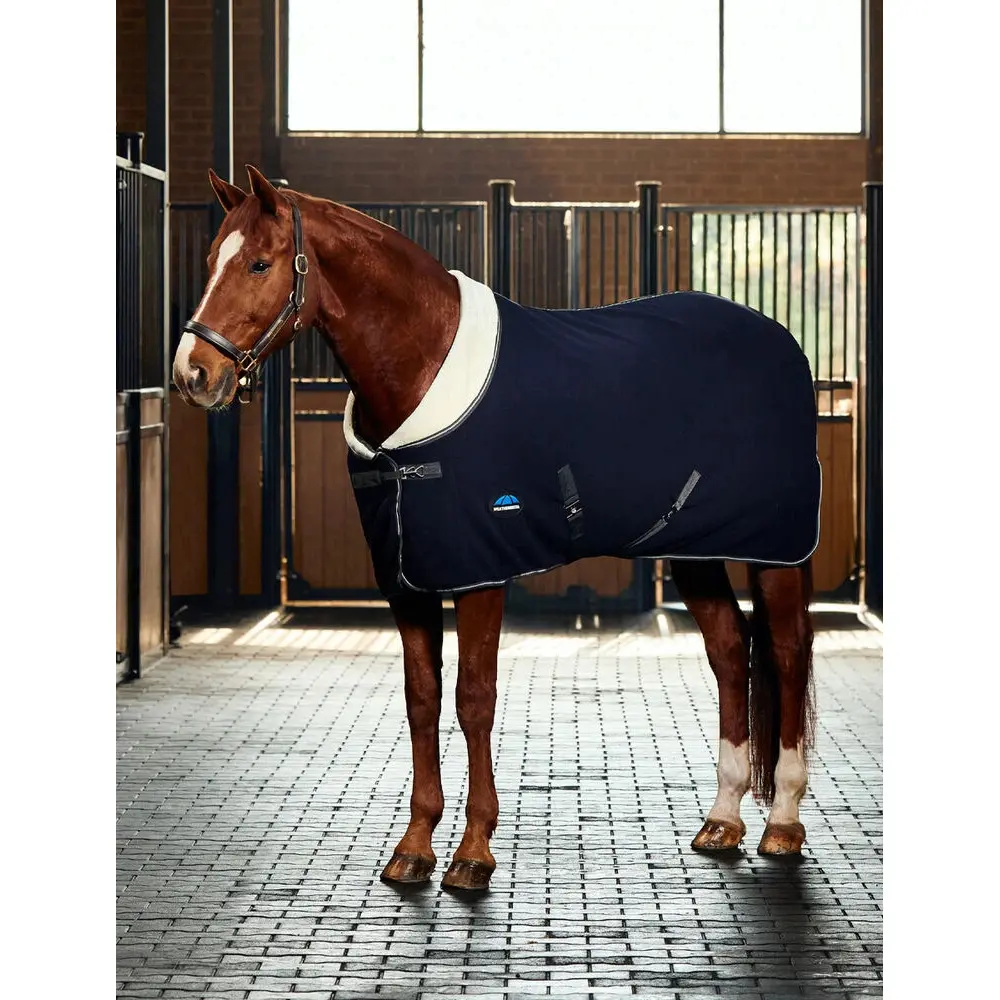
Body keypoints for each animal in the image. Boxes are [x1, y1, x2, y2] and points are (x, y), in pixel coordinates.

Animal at [171, 164, 818, 892]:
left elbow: (473, 698)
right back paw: (722, 821)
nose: (193, 373)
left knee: (788, 653)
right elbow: (422, 698)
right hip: (694, 550)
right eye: (210, 261)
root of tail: (781, 343)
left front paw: (473, 852)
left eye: (260, 262)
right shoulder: (407, 578)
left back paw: (783, 824)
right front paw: (414, 847)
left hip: (776, 550)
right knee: (730, 651)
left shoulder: (479, 570)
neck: (421, 367)